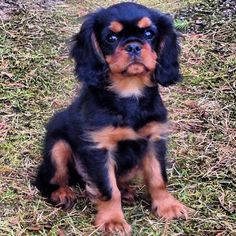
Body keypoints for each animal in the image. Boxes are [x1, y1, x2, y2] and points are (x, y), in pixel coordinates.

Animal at [35, 2, 188, 234]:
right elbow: (108, 188)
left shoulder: (154, 140)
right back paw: (62, 193)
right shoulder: (99, 148)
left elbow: (158, 178)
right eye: (111, 38)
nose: (133, 47)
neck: (129, 92)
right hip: (57, 148)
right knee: (48, 179)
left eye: (149, 33)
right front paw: (112, 220)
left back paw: (126, 192)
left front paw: (168, 206)